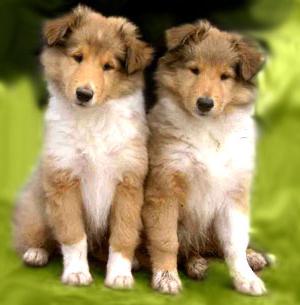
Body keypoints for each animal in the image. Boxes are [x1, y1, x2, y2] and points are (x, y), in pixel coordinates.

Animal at [12, 5, 152, 288]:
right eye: (78, 57)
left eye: (108, 66)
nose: (84, 94)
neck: (92, 118)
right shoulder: (63, 178)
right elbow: (73, 235)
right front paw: (77, 273)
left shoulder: (128, 183)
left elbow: (123, 235)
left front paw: (120, 275)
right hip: (37, 209)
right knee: (36, 236)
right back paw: (35, 253)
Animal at [142, 20, 264, 294]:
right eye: (194, 70)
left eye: (225, 76)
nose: (205, 103)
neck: (207, 129)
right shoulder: (164, 188)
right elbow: (166, 240)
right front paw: (166, 278)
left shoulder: (234, 192)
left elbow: (235, 242)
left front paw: (246, 279)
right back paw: (194, 264)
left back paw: (251, 257)